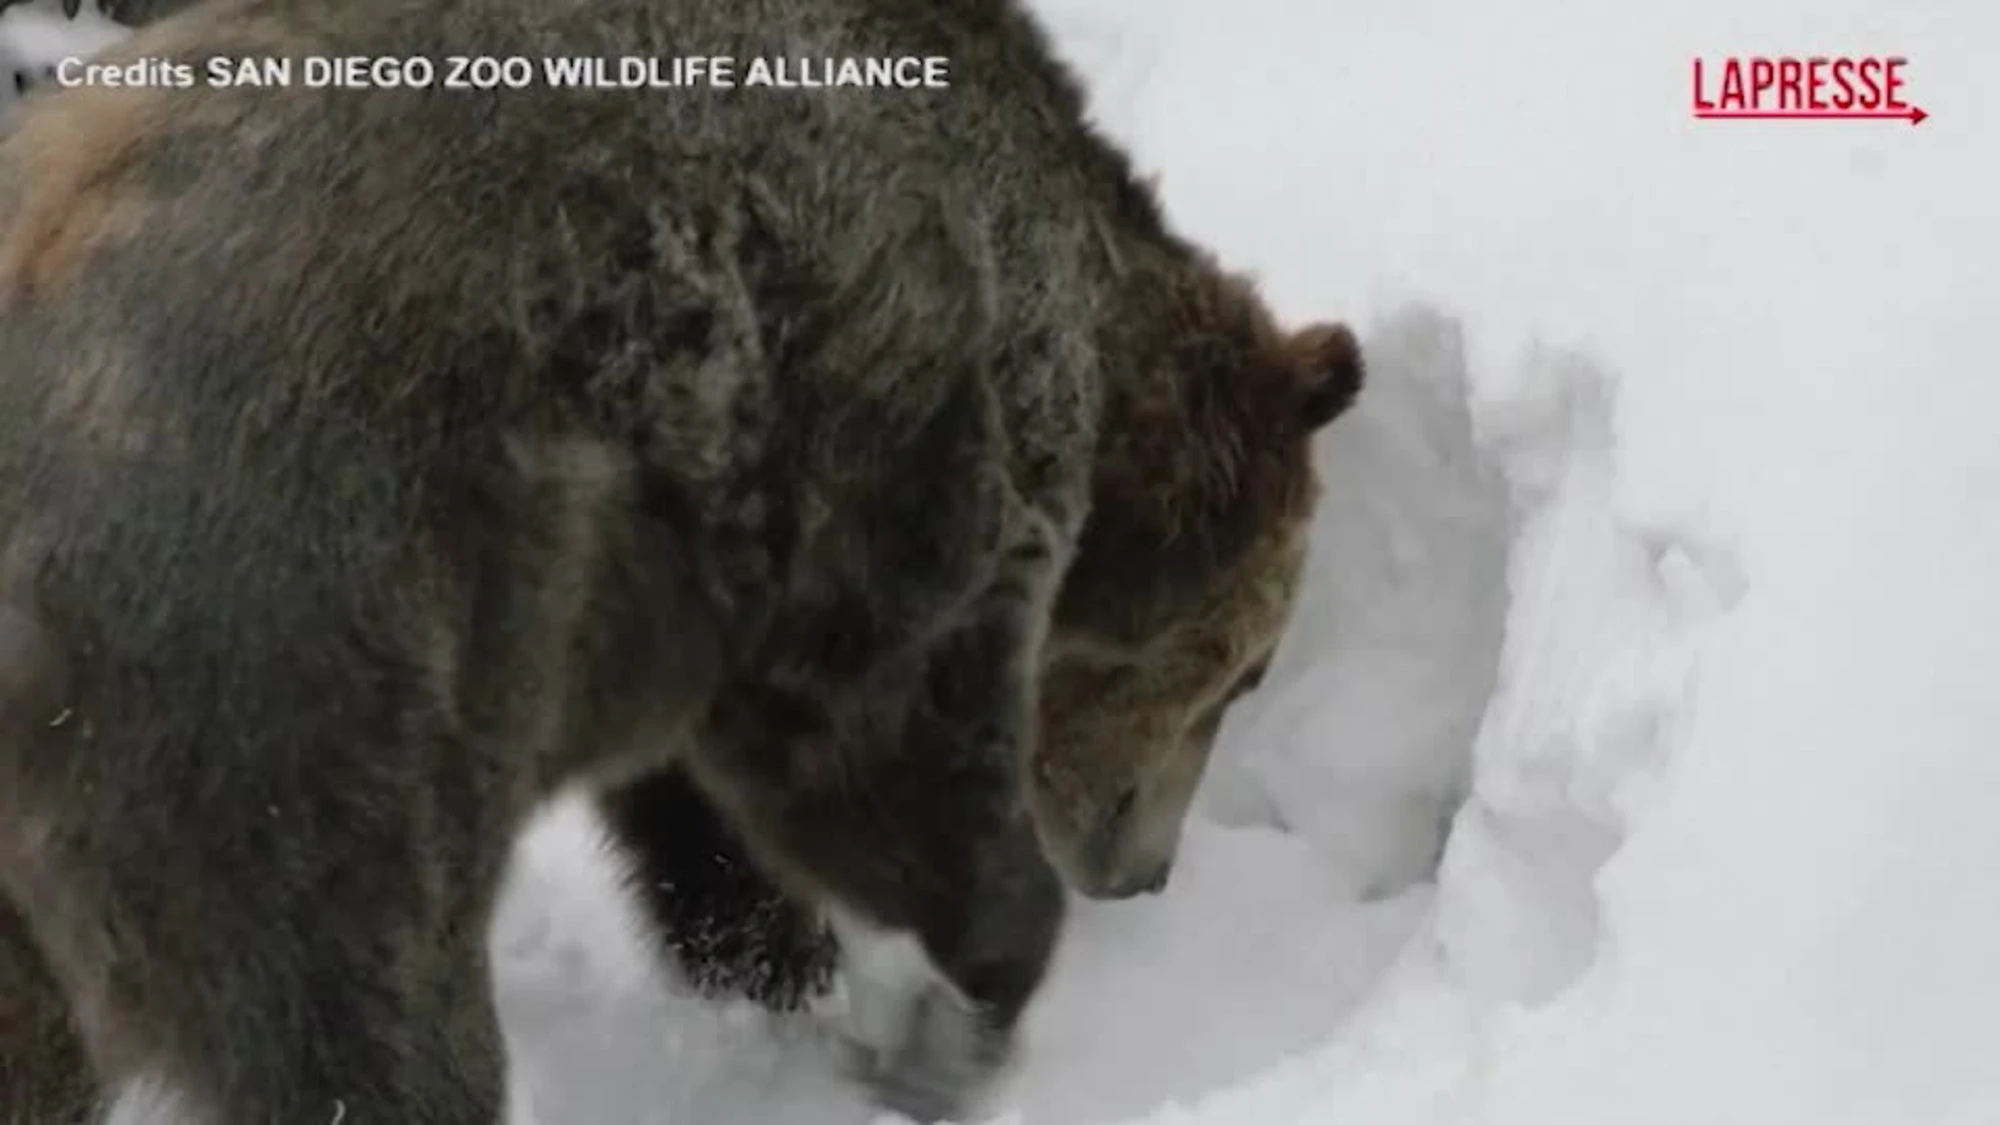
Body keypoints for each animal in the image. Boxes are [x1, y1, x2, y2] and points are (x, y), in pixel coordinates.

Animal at [0, 0, 1364, 1123]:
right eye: (1242, 674)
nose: (1143, 870)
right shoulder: (888, 429)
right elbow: (879, 735)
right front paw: (951, 1011)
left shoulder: (676, 551)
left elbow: (694, 803)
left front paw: (780, 969)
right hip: (294, 670)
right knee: (361, 1013)